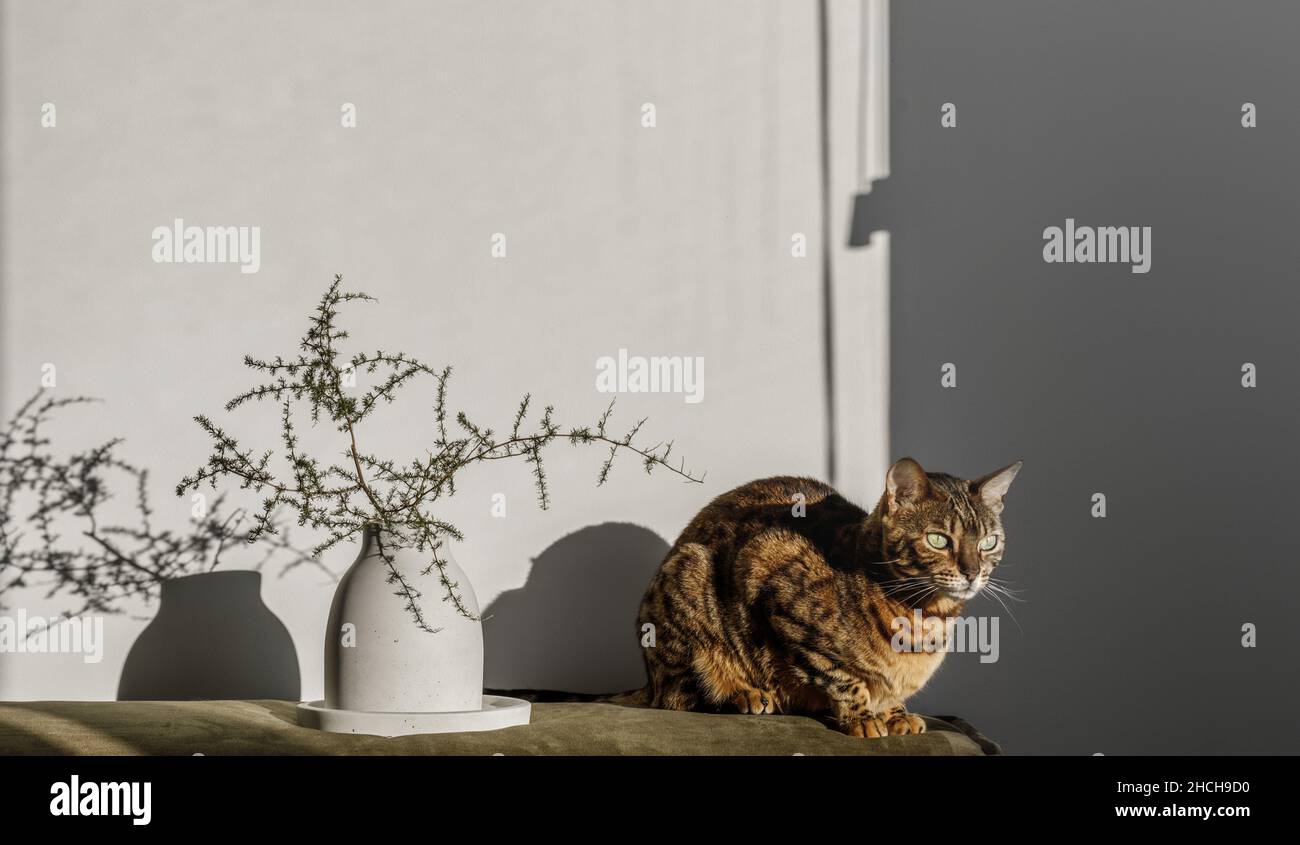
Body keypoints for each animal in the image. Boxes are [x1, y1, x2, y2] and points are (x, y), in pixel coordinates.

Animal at [634, 454, 1019, 738]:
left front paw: (896, 713)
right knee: (678, 695)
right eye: (938, 540)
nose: (972, 572)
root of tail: (647, 681)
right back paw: (743, 693)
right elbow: (841, 677)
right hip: (688, 581)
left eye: (989, 542)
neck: (926, 622)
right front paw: (863, 717)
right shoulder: (769, 575)